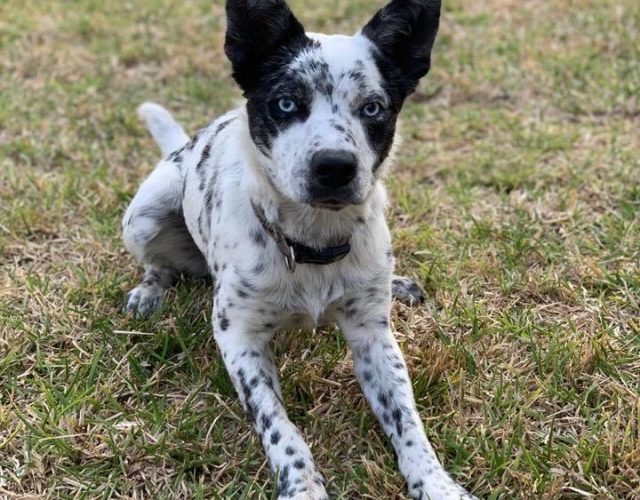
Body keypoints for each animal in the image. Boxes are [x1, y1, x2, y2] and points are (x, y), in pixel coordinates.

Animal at [124, 0, 476, 500]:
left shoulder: (374, 338)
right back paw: (149, 292)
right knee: (158, 263)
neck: (312, 243)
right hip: (144, 214)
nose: (335, 167)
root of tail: (185, 147)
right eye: (287, 103)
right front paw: (302, 486)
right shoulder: (239, 339)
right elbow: (278, 425)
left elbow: (408, 420)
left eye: (373, 108)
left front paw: (437, 483)